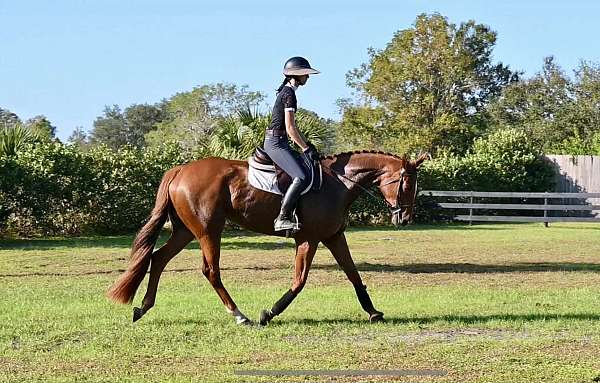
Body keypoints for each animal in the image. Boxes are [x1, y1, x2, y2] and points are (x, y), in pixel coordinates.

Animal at [106, 152, 426, 326]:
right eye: (406, 184)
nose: (405, 219)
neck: (337, 183)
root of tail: (181, 169)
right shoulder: (308, 240)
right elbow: (299, 281)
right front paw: (269, 313)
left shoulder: (334, 236)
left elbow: (353, 274)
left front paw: (373, 312)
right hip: (209, 230)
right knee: (211, 271)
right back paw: (240, 315)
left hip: (186, 231)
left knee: (158, 258)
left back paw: (142, 307)